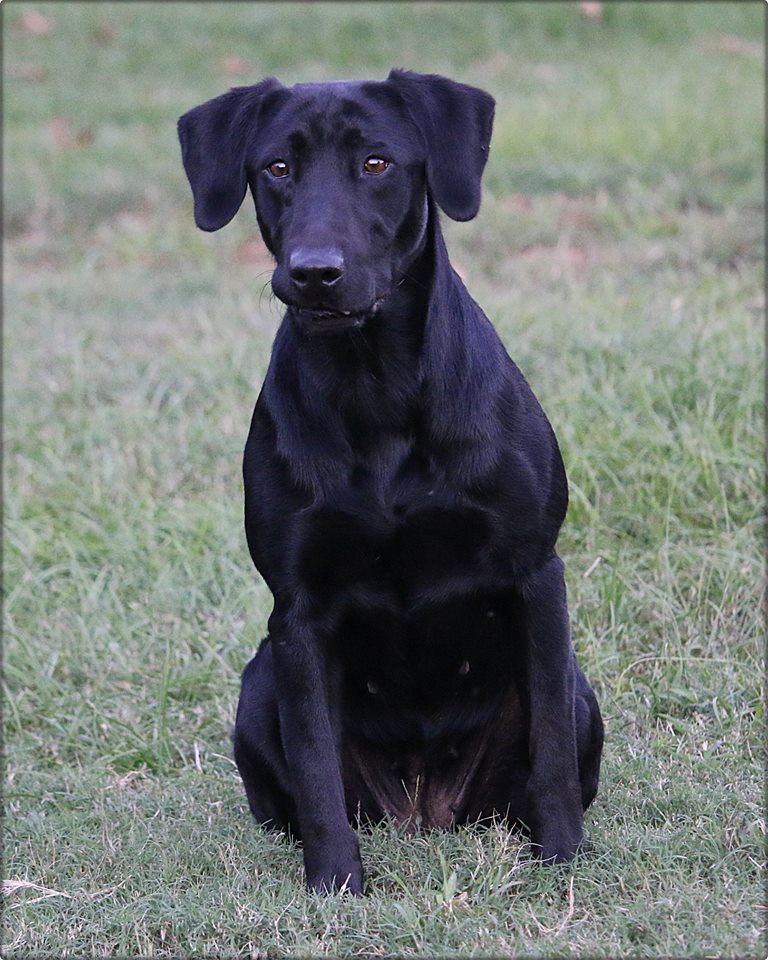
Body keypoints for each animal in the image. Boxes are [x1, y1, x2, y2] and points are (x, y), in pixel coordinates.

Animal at [178, 69, 600, 900]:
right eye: (277, 168)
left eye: (376, 163)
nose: (314, 271)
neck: (373, 388)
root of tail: (424, 809)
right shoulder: (298, 614)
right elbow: (316, 768)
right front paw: (335, 884)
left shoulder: (536, 574)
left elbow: (552, 752)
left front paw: (564, 857)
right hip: (259, 685)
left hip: (581, 689)